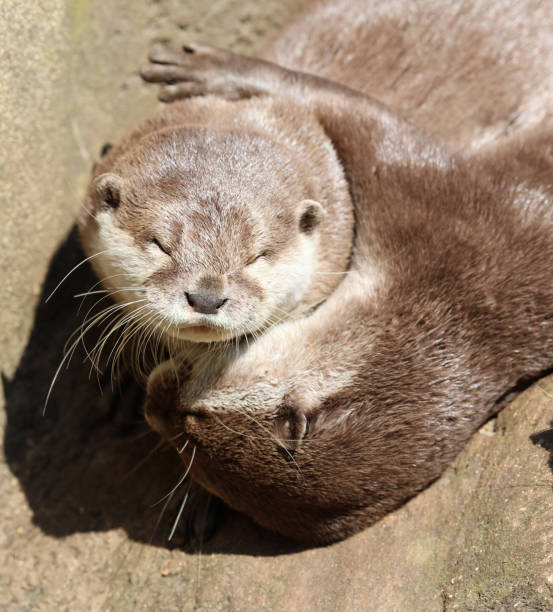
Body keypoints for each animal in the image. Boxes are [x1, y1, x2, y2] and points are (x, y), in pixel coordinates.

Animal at [136, 0, 553, 544]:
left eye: (189, 431)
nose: (150, 405)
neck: (462, 292)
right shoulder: (453, 213)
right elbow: (346, 106)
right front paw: (213, 67)